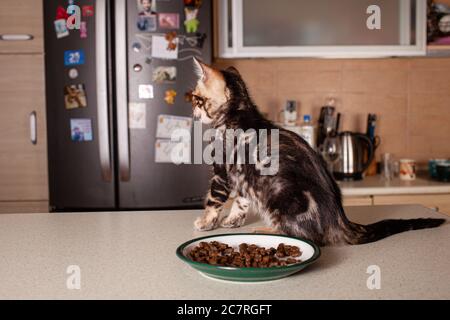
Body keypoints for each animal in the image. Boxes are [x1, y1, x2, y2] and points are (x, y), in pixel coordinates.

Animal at [189, 57, 442, 246]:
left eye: (197, 99)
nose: (193, 113)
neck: (238, 113)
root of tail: (339, 219)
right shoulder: (244, 176)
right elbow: (240, 202)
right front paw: (232, 221)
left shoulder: (222, 171)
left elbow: (213, 199)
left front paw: (205, 222)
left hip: (282, 197)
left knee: (310, 237)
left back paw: (267, 230)